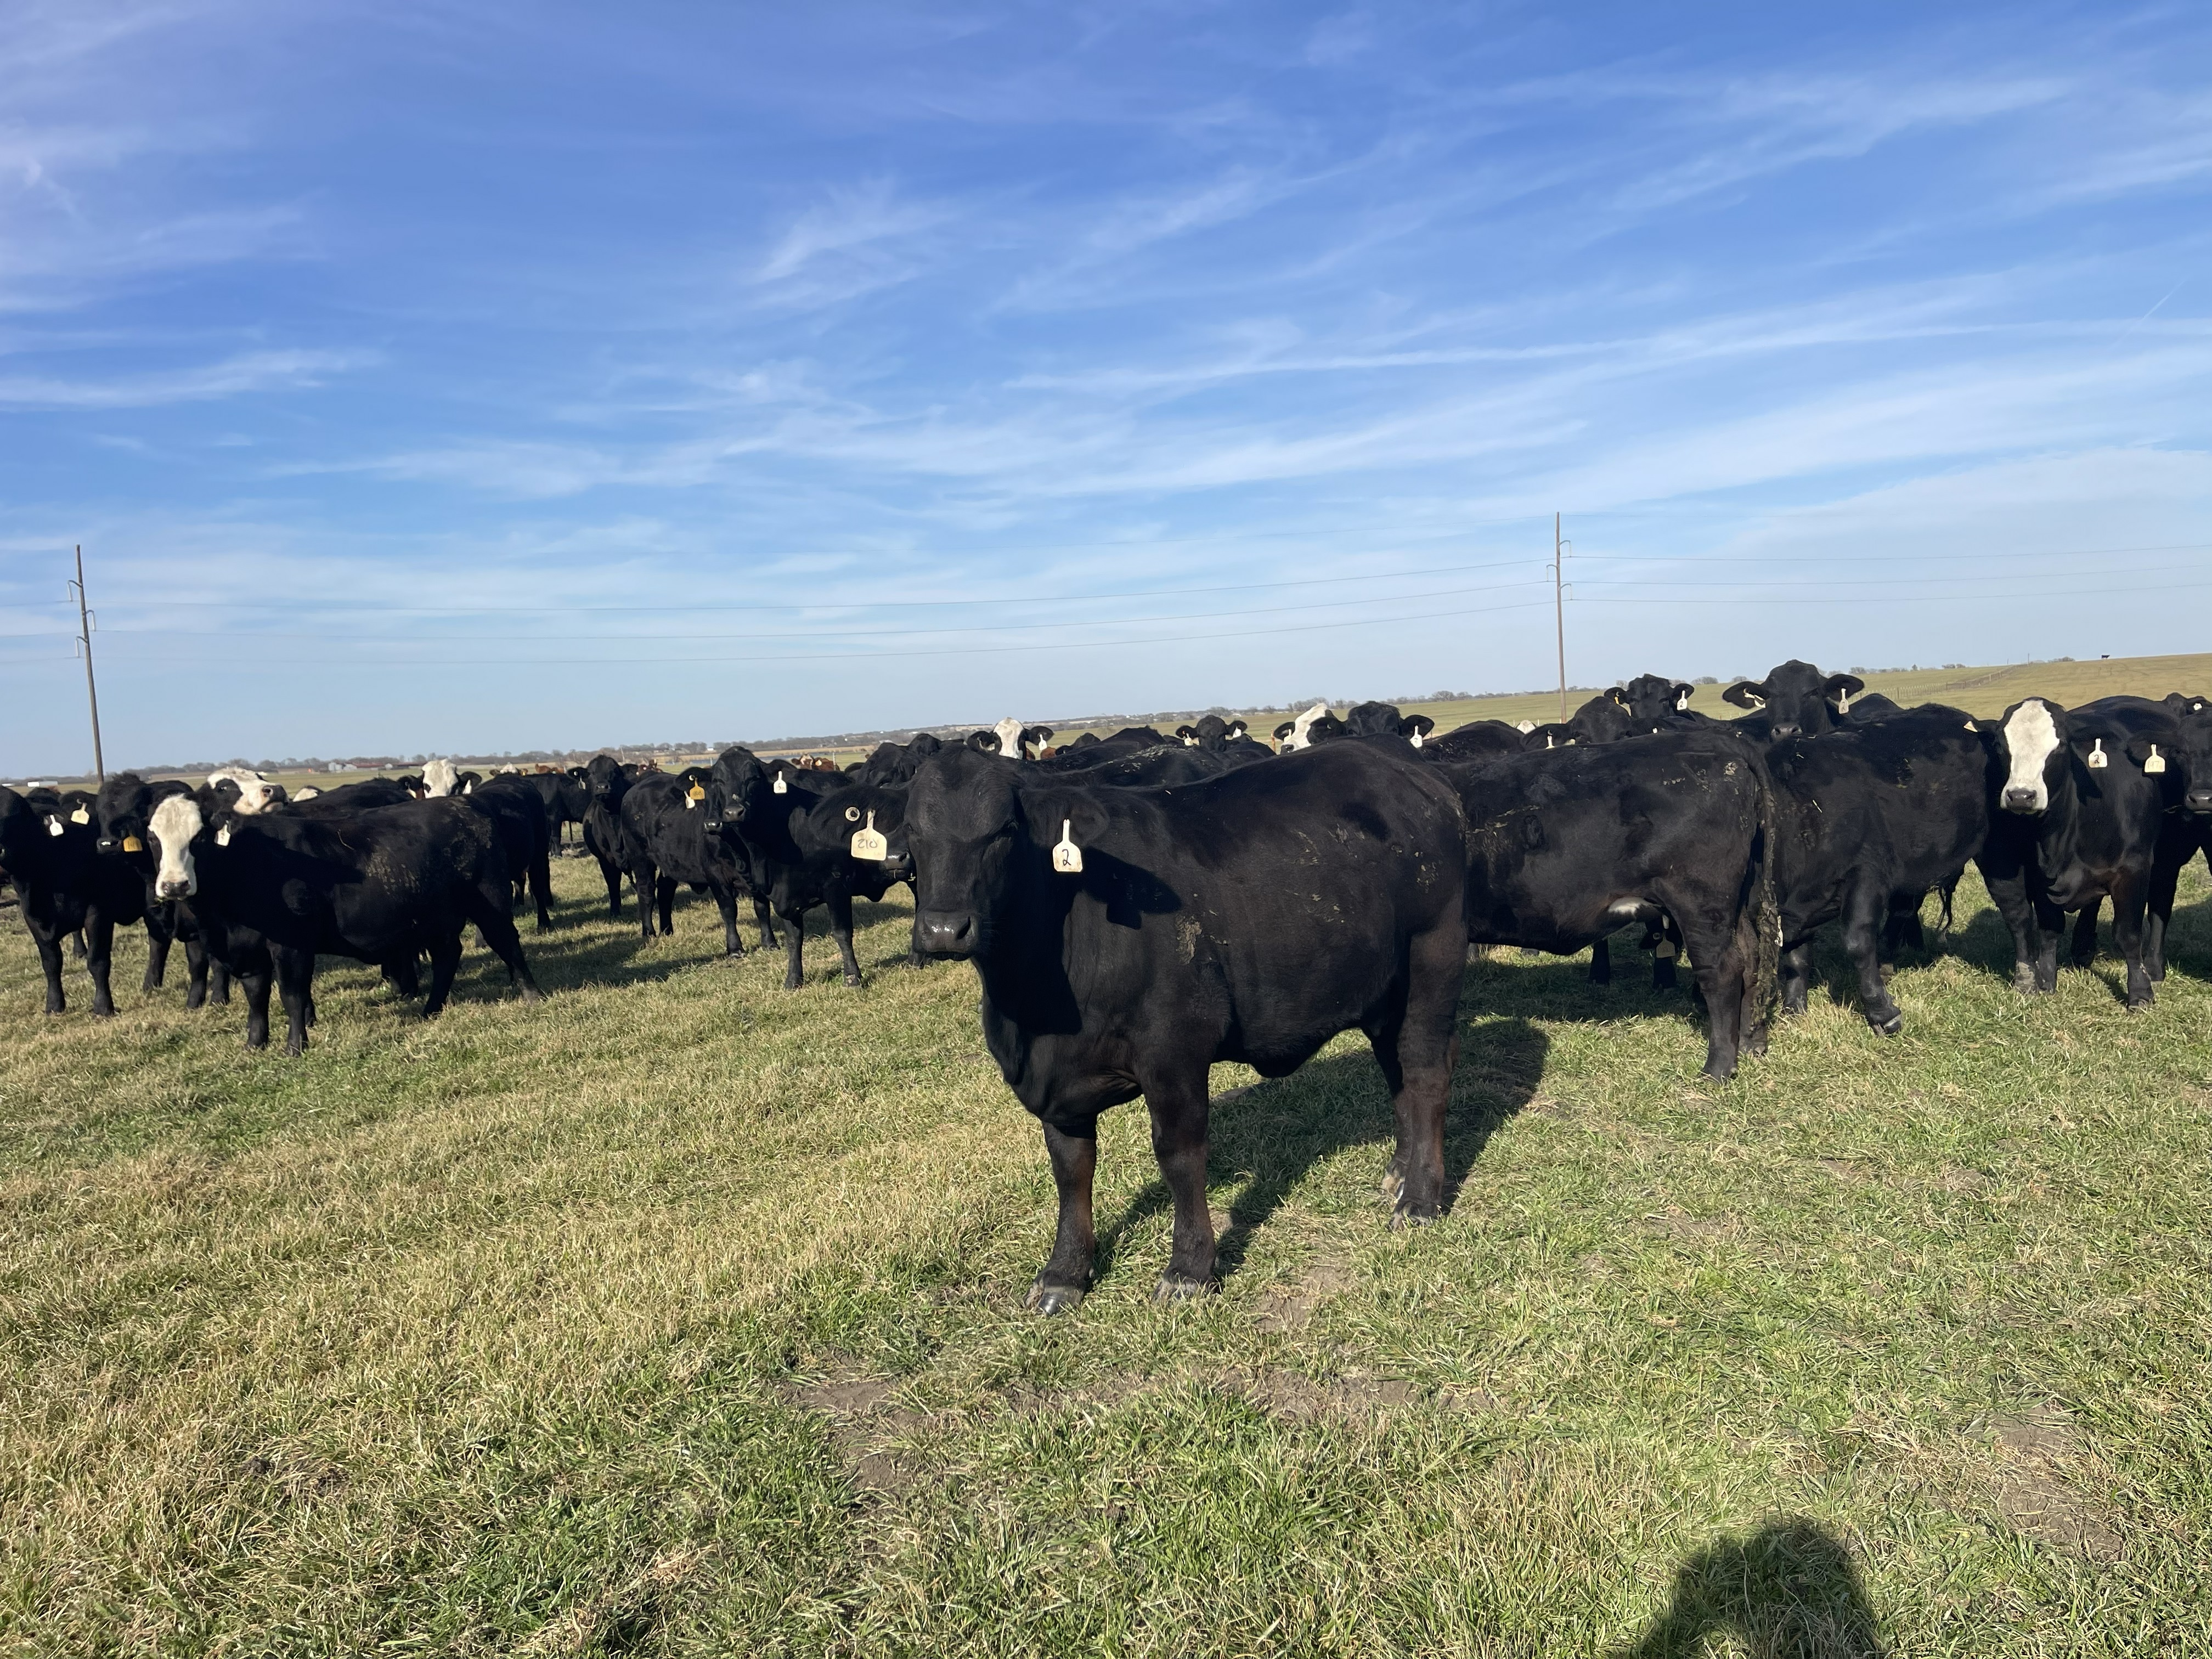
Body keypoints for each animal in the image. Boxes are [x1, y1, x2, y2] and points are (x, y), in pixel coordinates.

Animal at [146, 791, 541, 1053]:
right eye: (152, 836)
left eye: (199, 836)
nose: (174, 885)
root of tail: (466, 806)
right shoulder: (247, 951)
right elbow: (256, 998)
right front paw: (254, 1044)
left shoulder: (291, 945)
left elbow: (292, 995)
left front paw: (295, 1047)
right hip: (435, 919)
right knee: (448, 956)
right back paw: (431, 1009)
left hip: (489, 902)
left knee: (507, 942)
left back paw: (532, 995)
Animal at [904, 740, 1469, 1314]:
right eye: (911, 830)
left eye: (1003, 831)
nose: (944, 929)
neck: (1032, 1013)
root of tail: (1409, 772)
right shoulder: (1058, 1086)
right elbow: (1070, 1168)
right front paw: (1064, 1271)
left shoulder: (1173, 1052)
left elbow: (1179, 1156)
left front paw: (1189, 1269)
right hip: (1384, 992)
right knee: (1397, 1072)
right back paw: (1399, 1173)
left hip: (1432, 959)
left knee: (1425, 1073)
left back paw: (1420, 1199)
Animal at [1439, 730, 1777, 1079]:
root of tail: (1718, 741)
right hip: (1735, 903)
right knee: (1751, 958)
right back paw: (1750, 1043)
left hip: (1699, 902)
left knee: (1722, 970)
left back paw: (1718, 1068)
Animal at [1985, 695, 2179, 1007]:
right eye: (2001, 745)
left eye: (2060, 745)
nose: (2021, 796)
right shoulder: (2040, 877)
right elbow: (2050, 928)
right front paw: (2046, 981)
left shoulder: (2134, 869)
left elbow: (2128, 935)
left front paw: (2140, 993)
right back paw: (2083, 948)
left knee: (2160, 906)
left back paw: (2152, 967)